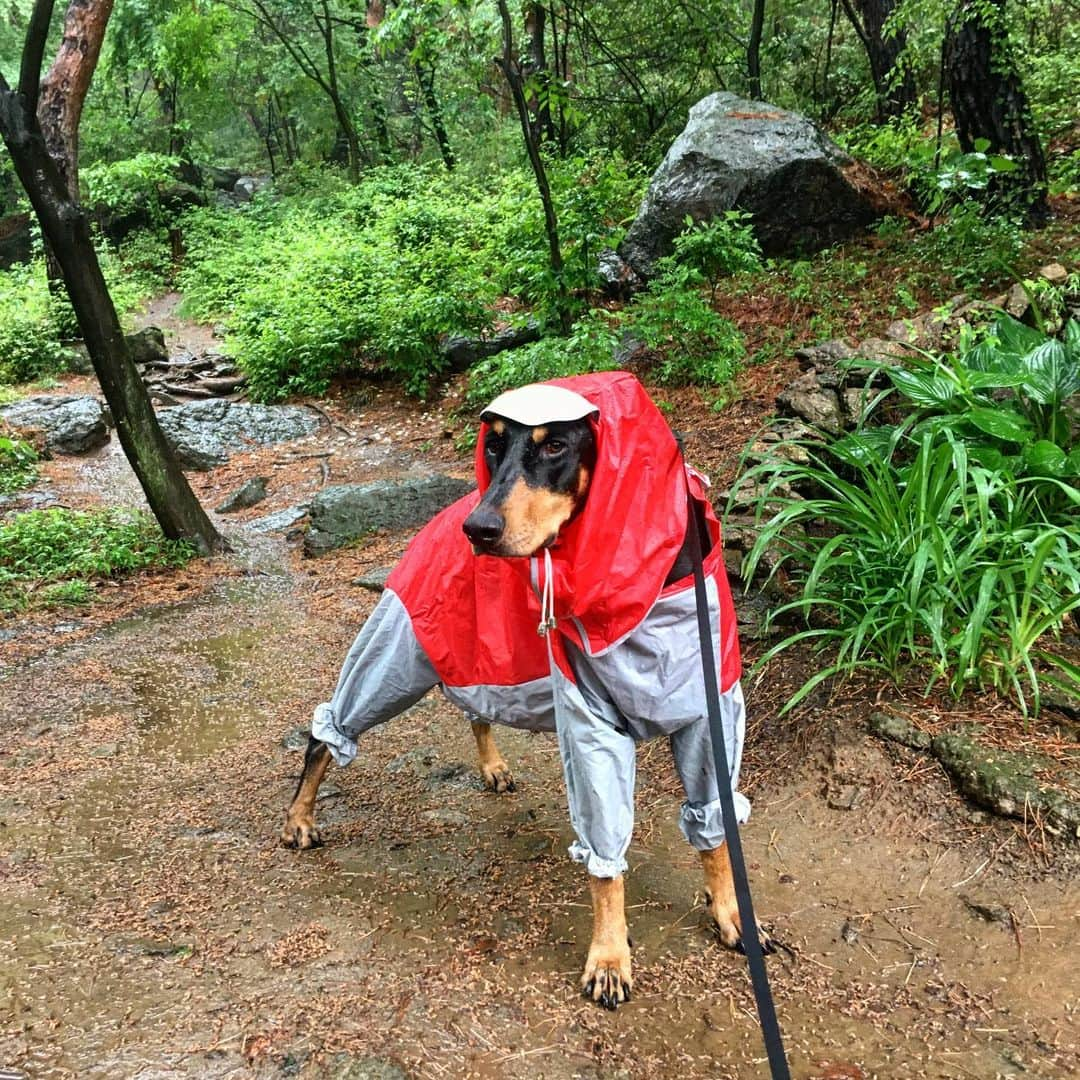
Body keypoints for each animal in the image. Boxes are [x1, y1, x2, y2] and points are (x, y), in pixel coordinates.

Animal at [278, 373, 768, 1010]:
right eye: (493, 445)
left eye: (555, 445)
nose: (478, 530)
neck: (646, 586)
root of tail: (443, 515)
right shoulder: (591, 723)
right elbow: (605, 860)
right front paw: (610, 956)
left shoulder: (709, 709)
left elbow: (716, 834)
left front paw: (731, 913)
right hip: (403, 641)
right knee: (328, 730)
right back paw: (300, 816)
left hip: (485, 662)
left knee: (476, 710)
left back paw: (491, 766)